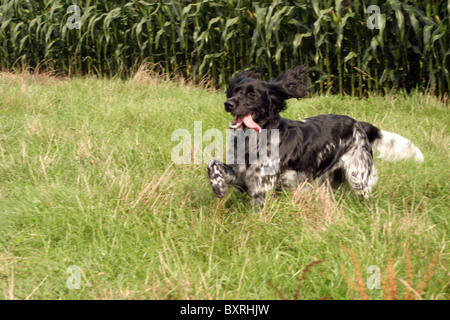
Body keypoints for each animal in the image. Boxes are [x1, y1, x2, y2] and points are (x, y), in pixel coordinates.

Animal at [206, 66, 424, 208]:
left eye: (252, 95)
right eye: (235, 90)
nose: (228, 103)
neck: (251, 140)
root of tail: (359, 124)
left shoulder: (262, 183)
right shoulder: (241, 175)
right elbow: (213, 164)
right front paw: (219, 188)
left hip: (358, 177)